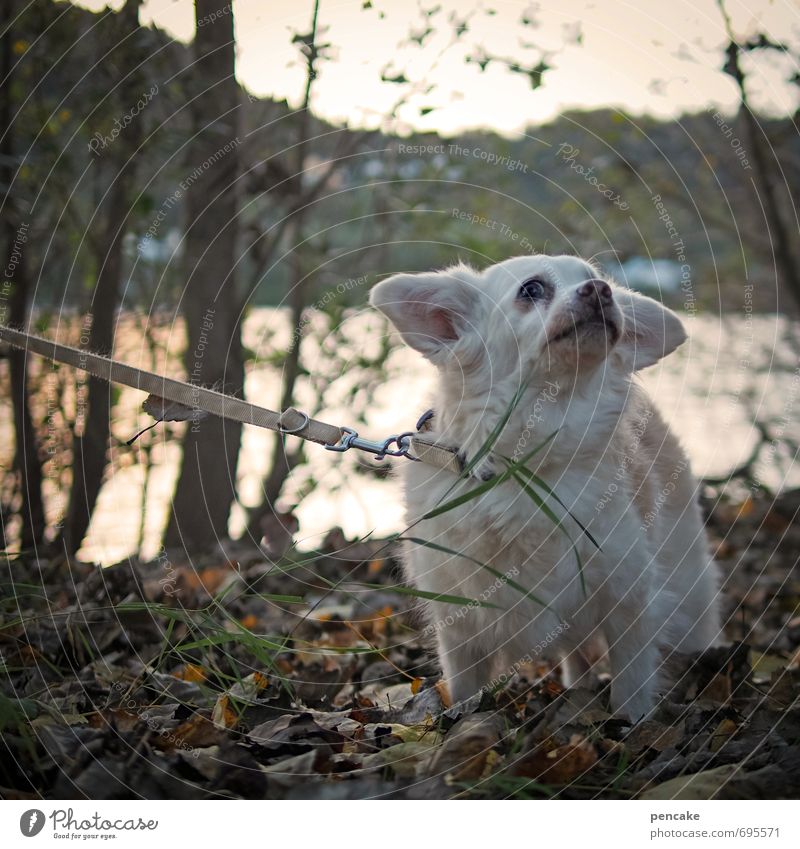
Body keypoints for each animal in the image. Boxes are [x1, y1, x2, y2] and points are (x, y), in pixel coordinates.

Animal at [372, 255, 720, 720]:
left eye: (601, 282)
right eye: (532, 290)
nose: (600, 291)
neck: (527, 467)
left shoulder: (629, 598)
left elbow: (631, 679)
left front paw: (629, 723)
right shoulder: (459, 623)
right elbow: (464, 687)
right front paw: (458, 719)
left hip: (687, 586)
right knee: (577, 653)